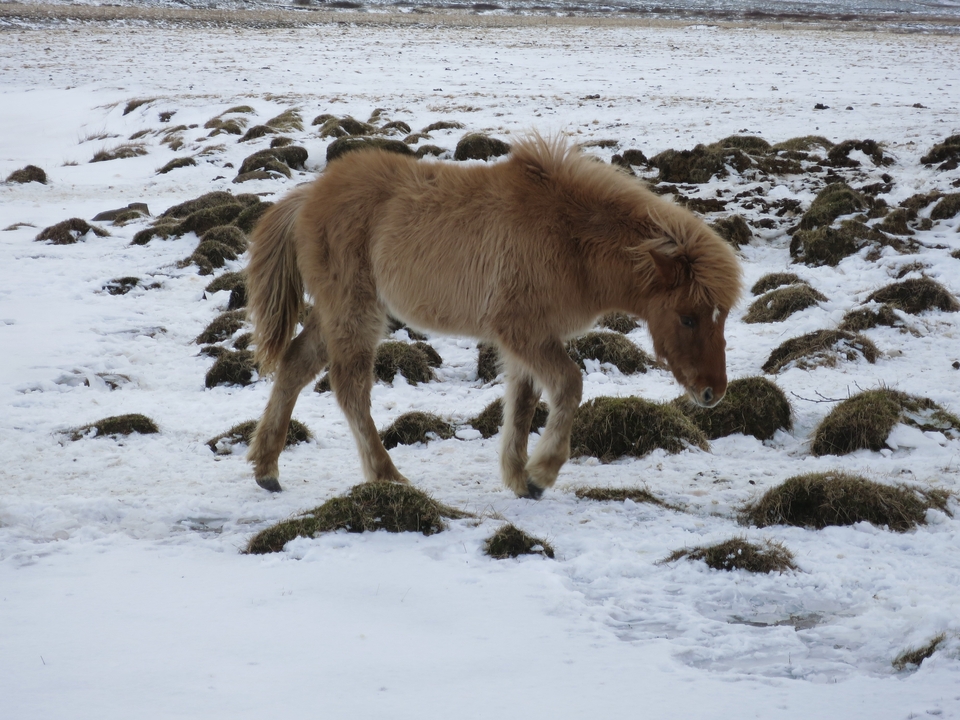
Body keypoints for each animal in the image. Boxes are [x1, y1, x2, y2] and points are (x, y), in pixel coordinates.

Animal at [245, 135, 742, 499]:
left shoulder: (527, 340)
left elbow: (522, 403)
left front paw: (519, 477)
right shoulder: (524, 332)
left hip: (337, 313)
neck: (570, 238)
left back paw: (267, 469)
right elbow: (569, 385)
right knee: (349, 388)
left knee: (294, 365)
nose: (713, 392)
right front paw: (542, 473)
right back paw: (386, 475)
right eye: (689, 318)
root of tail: (309, 196)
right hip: (356, 312)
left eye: (720, 317)